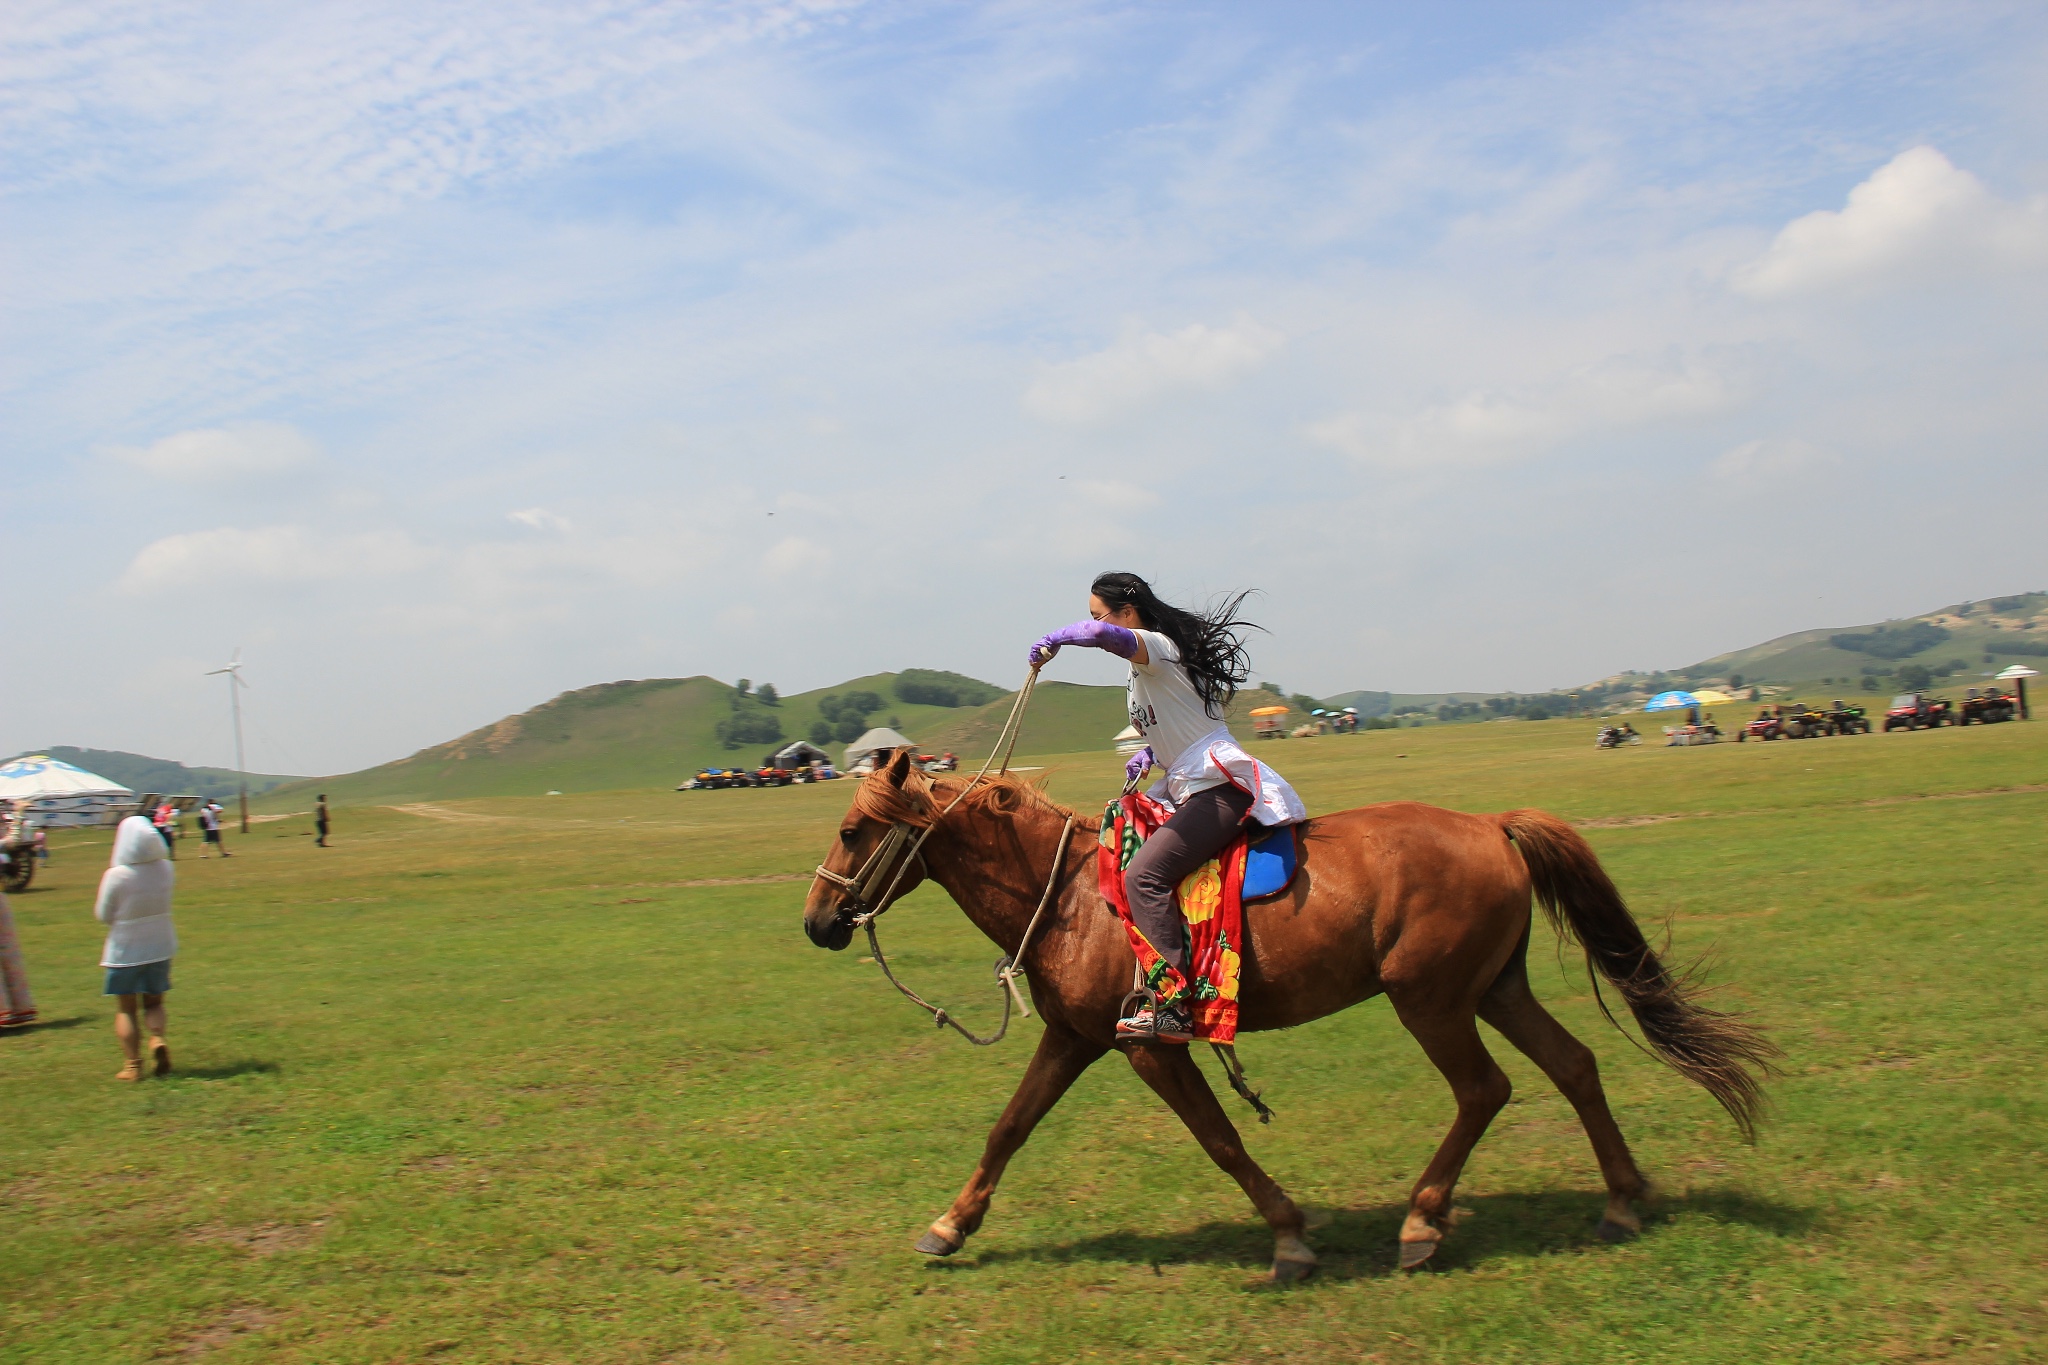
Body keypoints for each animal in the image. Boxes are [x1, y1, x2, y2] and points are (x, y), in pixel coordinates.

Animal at [802, 757, 1777, 1285]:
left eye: (851, 830)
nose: (816, 922)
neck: (1073, 894)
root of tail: (1491, 825)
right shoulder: (1074, 1037)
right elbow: (1009, 1127)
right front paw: (950, 1224)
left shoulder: (1147, 1047)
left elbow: (1221, 1139)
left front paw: (1290, 1236)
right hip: (1494, 987)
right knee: (1573, 1065)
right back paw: (1620, 1199)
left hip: (1430, 998)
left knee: (1484, 1088)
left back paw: (1423, 1223)